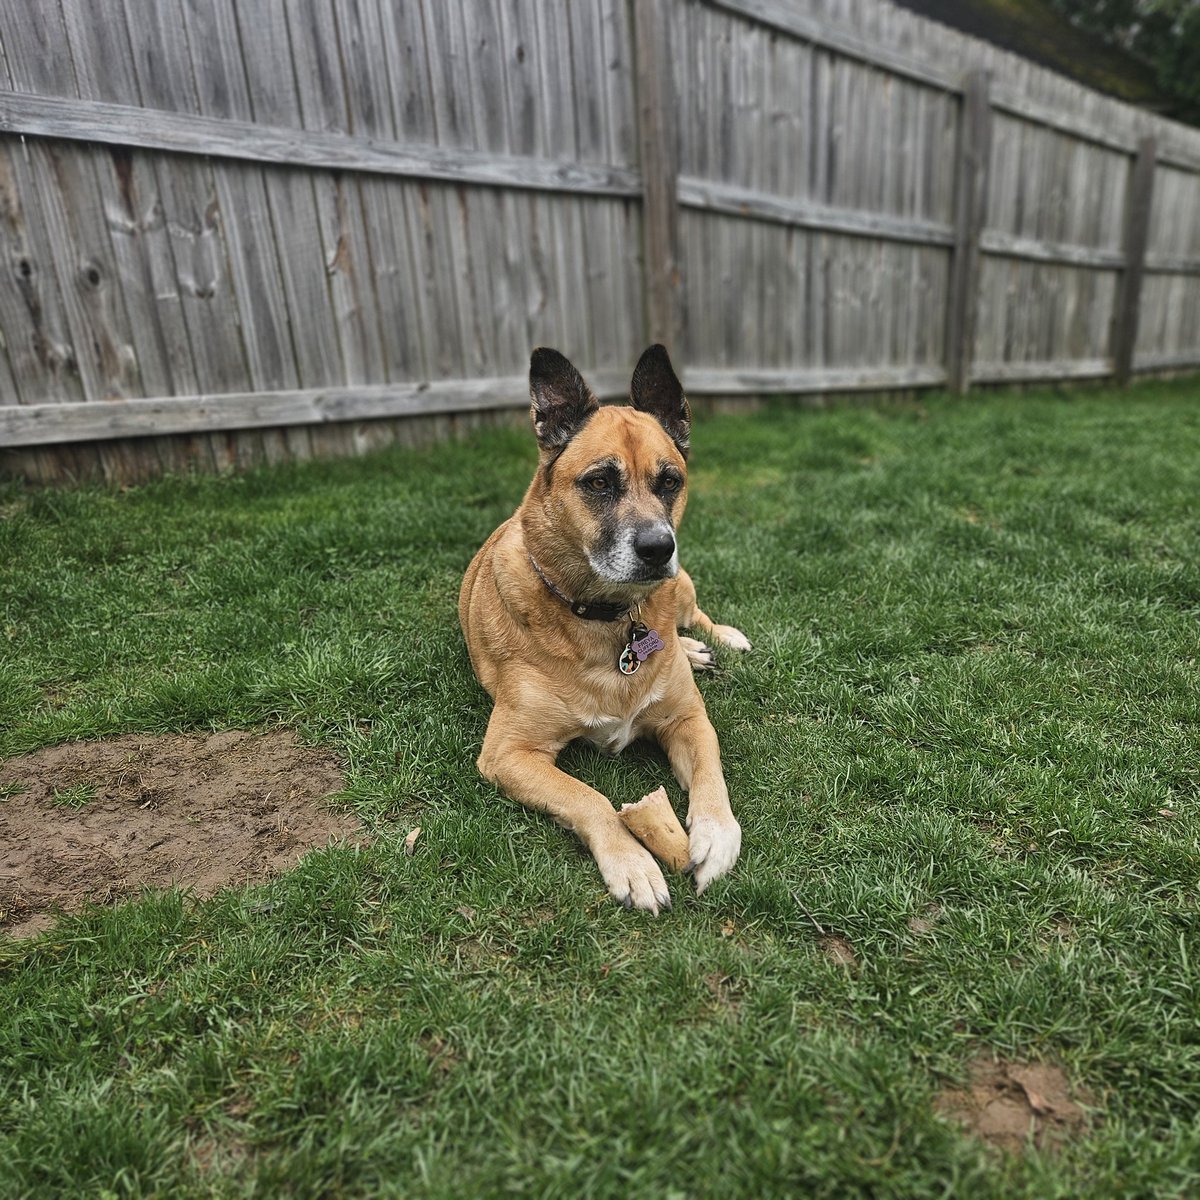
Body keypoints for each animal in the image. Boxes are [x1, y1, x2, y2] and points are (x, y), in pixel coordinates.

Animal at [458, 343, 748, 912]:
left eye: (670, 481)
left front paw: (717, 833)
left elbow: (712, 773)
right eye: (598, 482)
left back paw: (712, 640)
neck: (611, 618)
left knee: (695, 614)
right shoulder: (508, 754)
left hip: (683, 586)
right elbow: (588, 798)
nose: (659, 549)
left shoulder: (688, 719)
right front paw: (631, 862)